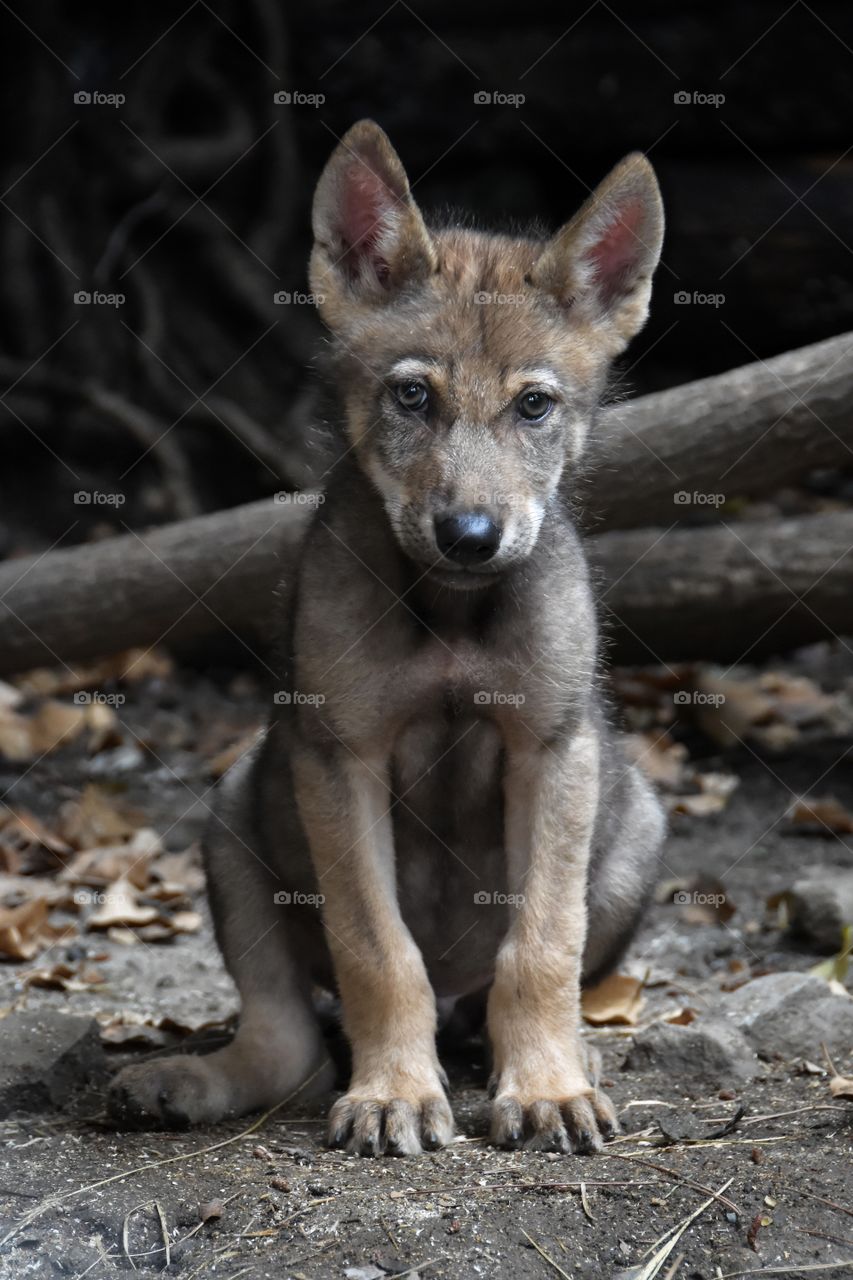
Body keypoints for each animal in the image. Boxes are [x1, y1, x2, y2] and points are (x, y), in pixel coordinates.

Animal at [110, 119, 666, 1156]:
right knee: (287, 1046)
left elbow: (541, 946)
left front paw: (546, 1085)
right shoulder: (340, 756)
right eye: (412, 398)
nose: (470, 536)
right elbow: (377, 951)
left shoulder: (551, 748)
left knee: (504, 992)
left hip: (634, 828)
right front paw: (395, 1094)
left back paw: (571, 1054)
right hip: (232, 821)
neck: (449, 610)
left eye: (535, 406)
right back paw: (185, 1081)